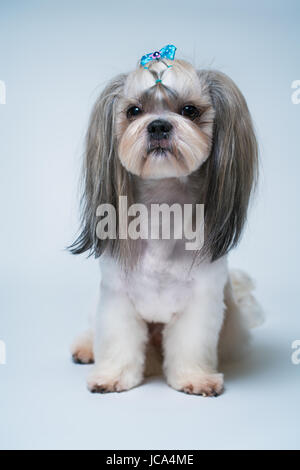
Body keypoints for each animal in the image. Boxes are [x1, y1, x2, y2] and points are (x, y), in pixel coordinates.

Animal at [70, 45, 262, 396]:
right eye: (133, 111)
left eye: (189, 110)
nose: (158, 125)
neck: (163, 207)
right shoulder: (116, 296)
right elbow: (117, 339)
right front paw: (111, 376)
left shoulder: (201, 300)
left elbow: (191, 342)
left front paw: (195, 378)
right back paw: (86, 348)